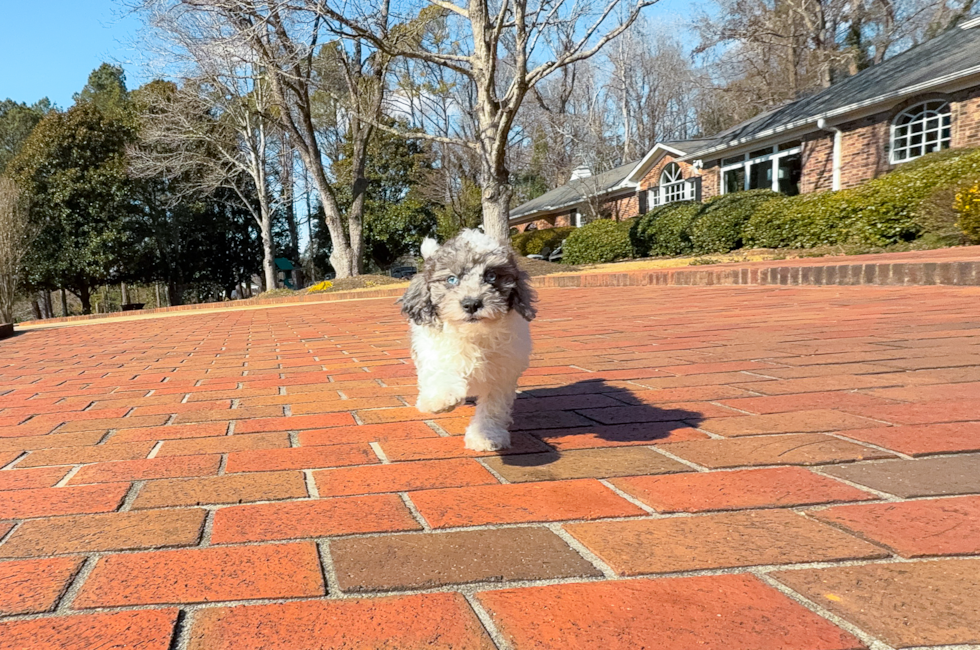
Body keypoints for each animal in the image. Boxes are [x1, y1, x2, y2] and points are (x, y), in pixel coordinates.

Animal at [398, 229, 536, 450]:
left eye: (491, 276)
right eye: (452, 279)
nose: (472, 303)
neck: (473, 334)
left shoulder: (502, 373)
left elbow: (493, 406)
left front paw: (486, 436)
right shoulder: (435, 348)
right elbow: (441, 370)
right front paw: (441, 398)